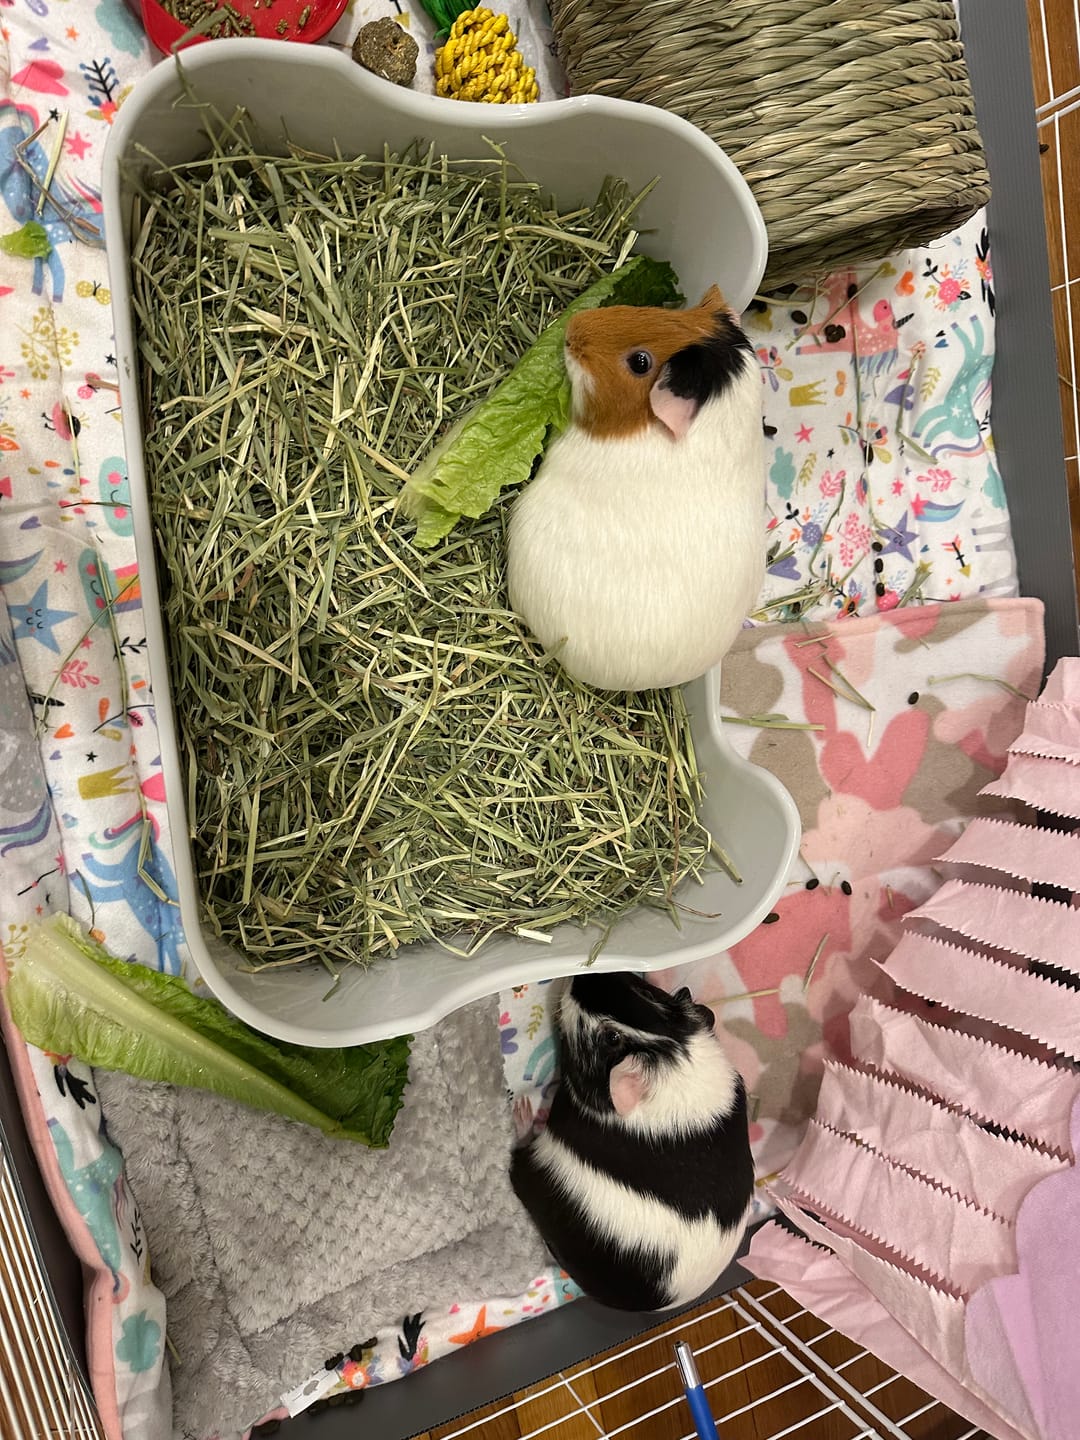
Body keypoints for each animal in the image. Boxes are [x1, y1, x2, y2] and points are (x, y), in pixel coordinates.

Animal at [510, 971, 754, 1313]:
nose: (581, 979)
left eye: (612, 1037)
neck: (676, 1060)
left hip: (534, 1167)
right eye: (644, 990)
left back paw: (519, 1110)